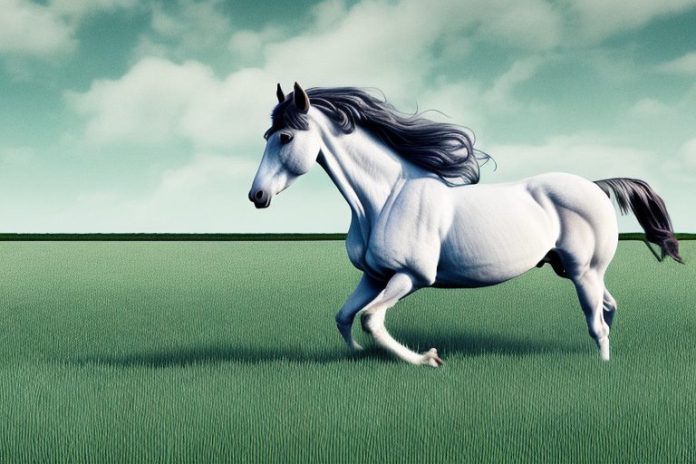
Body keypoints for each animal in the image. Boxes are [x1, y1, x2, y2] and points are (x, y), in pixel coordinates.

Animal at [249, 82, 683, 367]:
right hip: (574, 271)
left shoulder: (410, 277)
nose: (257, 196)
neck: (386, 198)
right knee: (609, 308)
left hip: (584, 272)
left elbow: (372, 320)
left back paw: (603, 368)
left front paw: (428, 359)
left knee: (598, 322)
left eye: (285, 136)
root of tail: (595, 186)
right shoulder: (374, 276)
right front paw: (357, 354)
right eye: (267, 134)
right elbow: (344, 317)